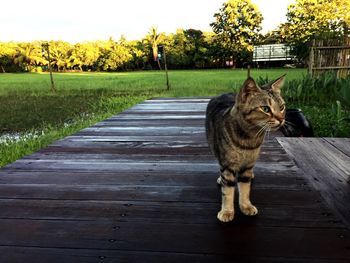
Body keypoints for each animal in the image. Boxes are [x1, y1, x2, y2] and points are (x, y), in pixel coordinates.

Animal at [205, 75, 288, 223]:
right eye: (266, 109)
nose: (281, 119)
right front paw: (227, 211)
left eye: (282, 107)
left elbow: (245, 188)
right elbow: (228, 191)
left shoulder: (247, 165)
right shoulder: (227, 164)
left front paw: (246, 206)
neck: (249, 139)